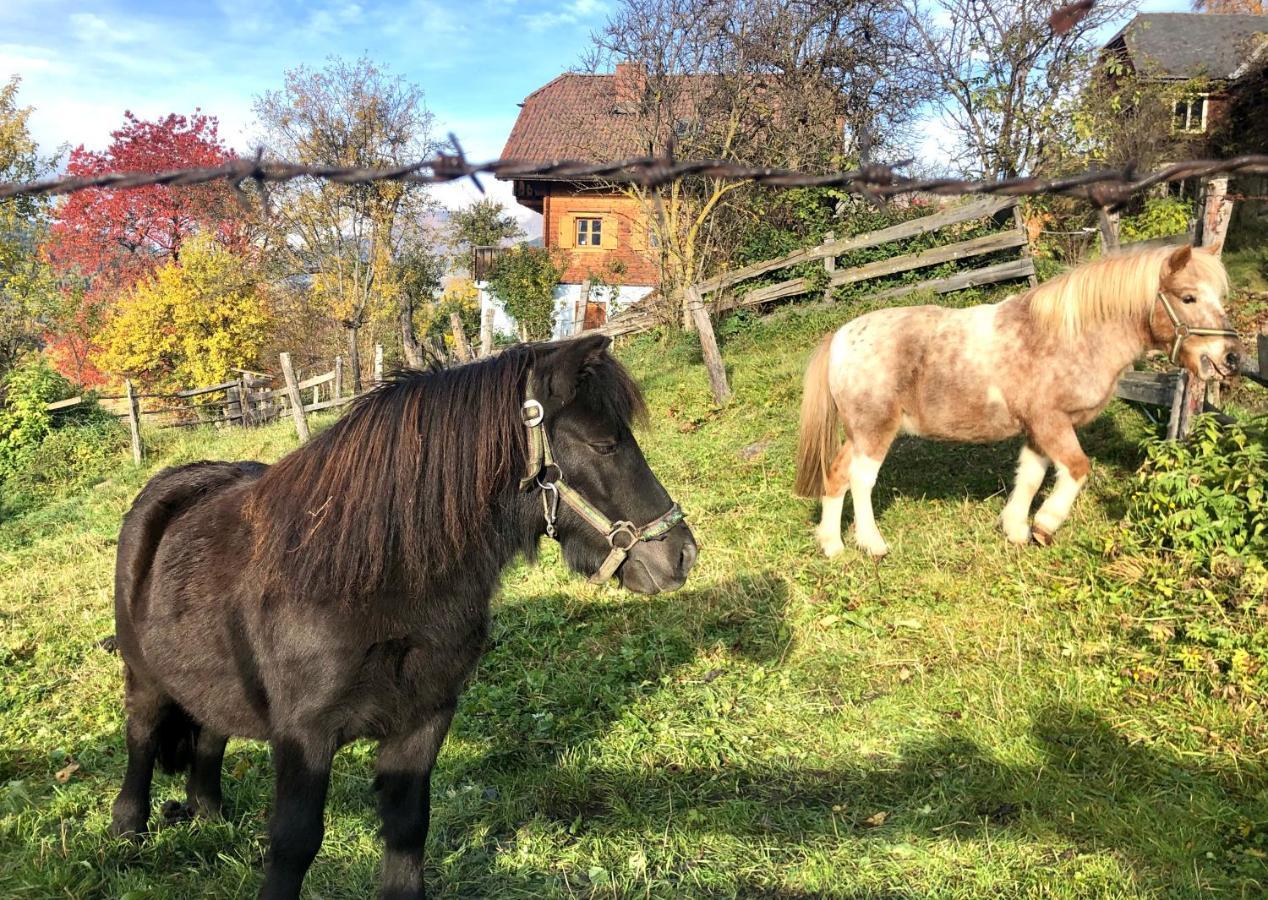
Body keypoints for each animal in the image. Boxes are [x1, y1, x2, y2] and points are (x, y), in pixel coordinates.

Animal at [111, 339, 694, 900]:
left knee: (210, 735)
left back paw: (209, 817)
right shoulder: (304, 737)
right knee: (140, 737)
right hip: (144, 679)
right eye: (604, 445)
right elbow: (295, 842)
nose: (682, 555)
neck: (362, 579)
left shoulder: (424, 720)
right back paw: (127, 834)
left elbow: (409, 827)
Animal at [796, 244, 1242, 557]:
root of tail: (841, 336)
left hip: (857, 433)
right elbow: (1076, 469)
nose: (1230, 358)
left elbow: (1029, 475)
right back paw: (872, 543)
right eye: (1188, 297)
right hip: (875, 430)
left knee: (836, 474)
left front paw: (1015, 529)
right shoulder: (1051, 422)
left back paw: (832, 544)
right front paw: (1044, 524)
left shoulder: (1038, 429)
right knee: (861, 480)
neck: (1070, 336)